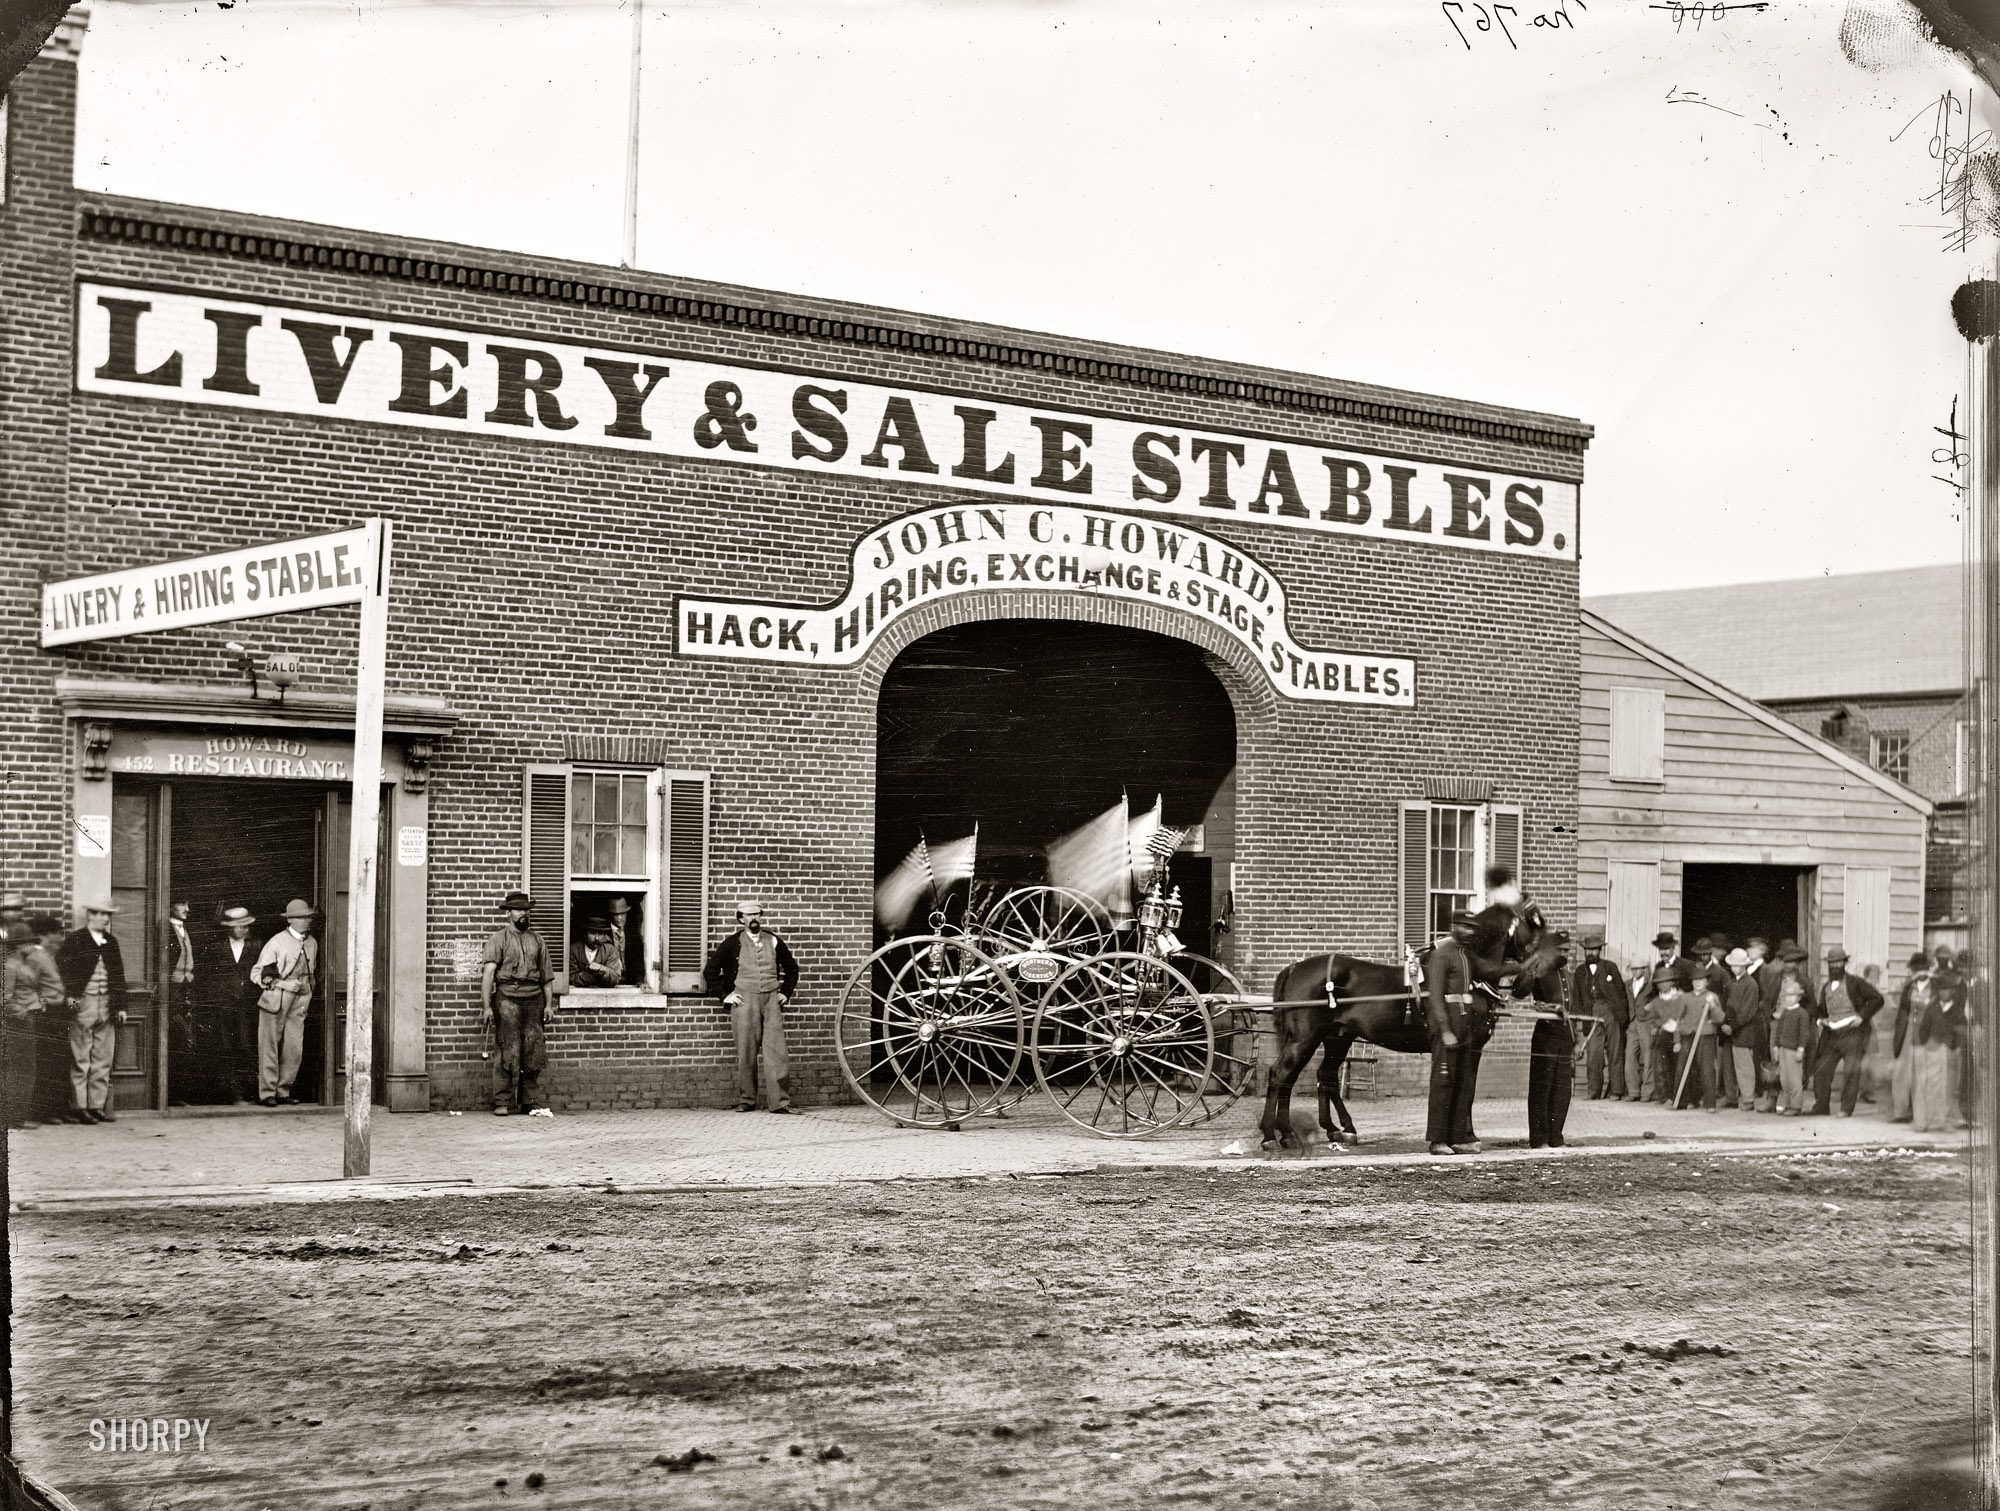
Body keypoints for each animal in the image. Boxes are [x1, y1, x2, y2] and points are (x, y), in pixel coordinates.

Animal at [1256, 903, 1568, 1151]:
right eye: (1535, 923)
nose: (1562, 953)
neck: (1472, 970)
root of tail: (1295, 968)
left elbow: (1466, 1091)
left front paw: (1463, 1137)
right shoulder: (1471, 1046)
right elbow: (1467, 1092)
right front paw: (1466, 1137)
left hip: (1337, 1037)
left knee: (1323, 1076)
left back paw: (1335, 1129)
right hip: (1305, 1038)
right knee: (1281, 1074)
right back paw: (1274, 1134)